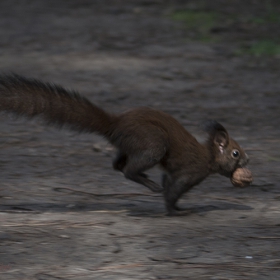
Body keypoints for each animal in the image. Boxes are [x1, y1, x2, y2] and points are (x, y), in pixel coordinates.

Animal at [0, 74, 249, 214]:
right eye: (236, 153)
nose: (248, 159)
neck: (208, 157)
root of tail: (115, 124)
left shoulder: (172, 172)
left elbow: (169, 186)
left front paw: (176, 207)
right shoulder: (189, 172)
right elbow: (173, 190)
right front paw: (176, 211)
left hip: (131, 146)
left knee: (117, 165)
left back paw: (145, 179)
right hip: (153, 143)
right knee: (129, 169)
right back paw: (148, 183)